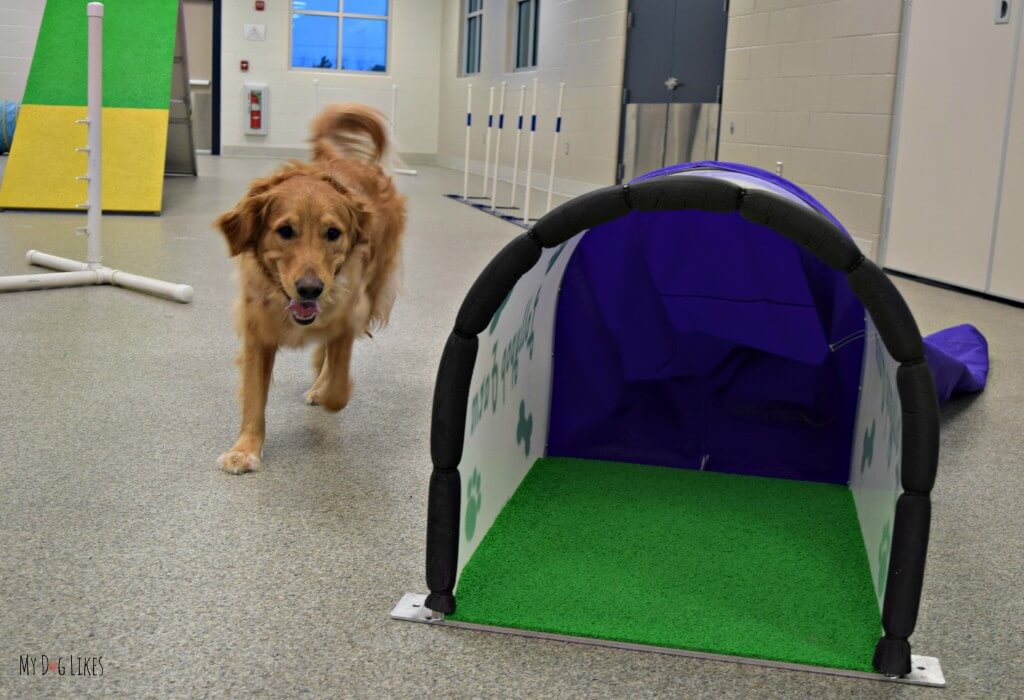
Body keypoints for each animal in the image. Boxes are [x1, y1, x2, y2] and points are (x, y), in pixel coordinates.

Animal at [212, 103, 403, 472]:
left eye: (333, 233)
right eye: (285, 231)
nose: (310, 289)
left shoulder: (348, 315)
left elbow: (339, 387)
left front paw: (329, 391)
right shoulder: (257, 332)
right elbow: (254, 396)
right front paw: (246, 448)